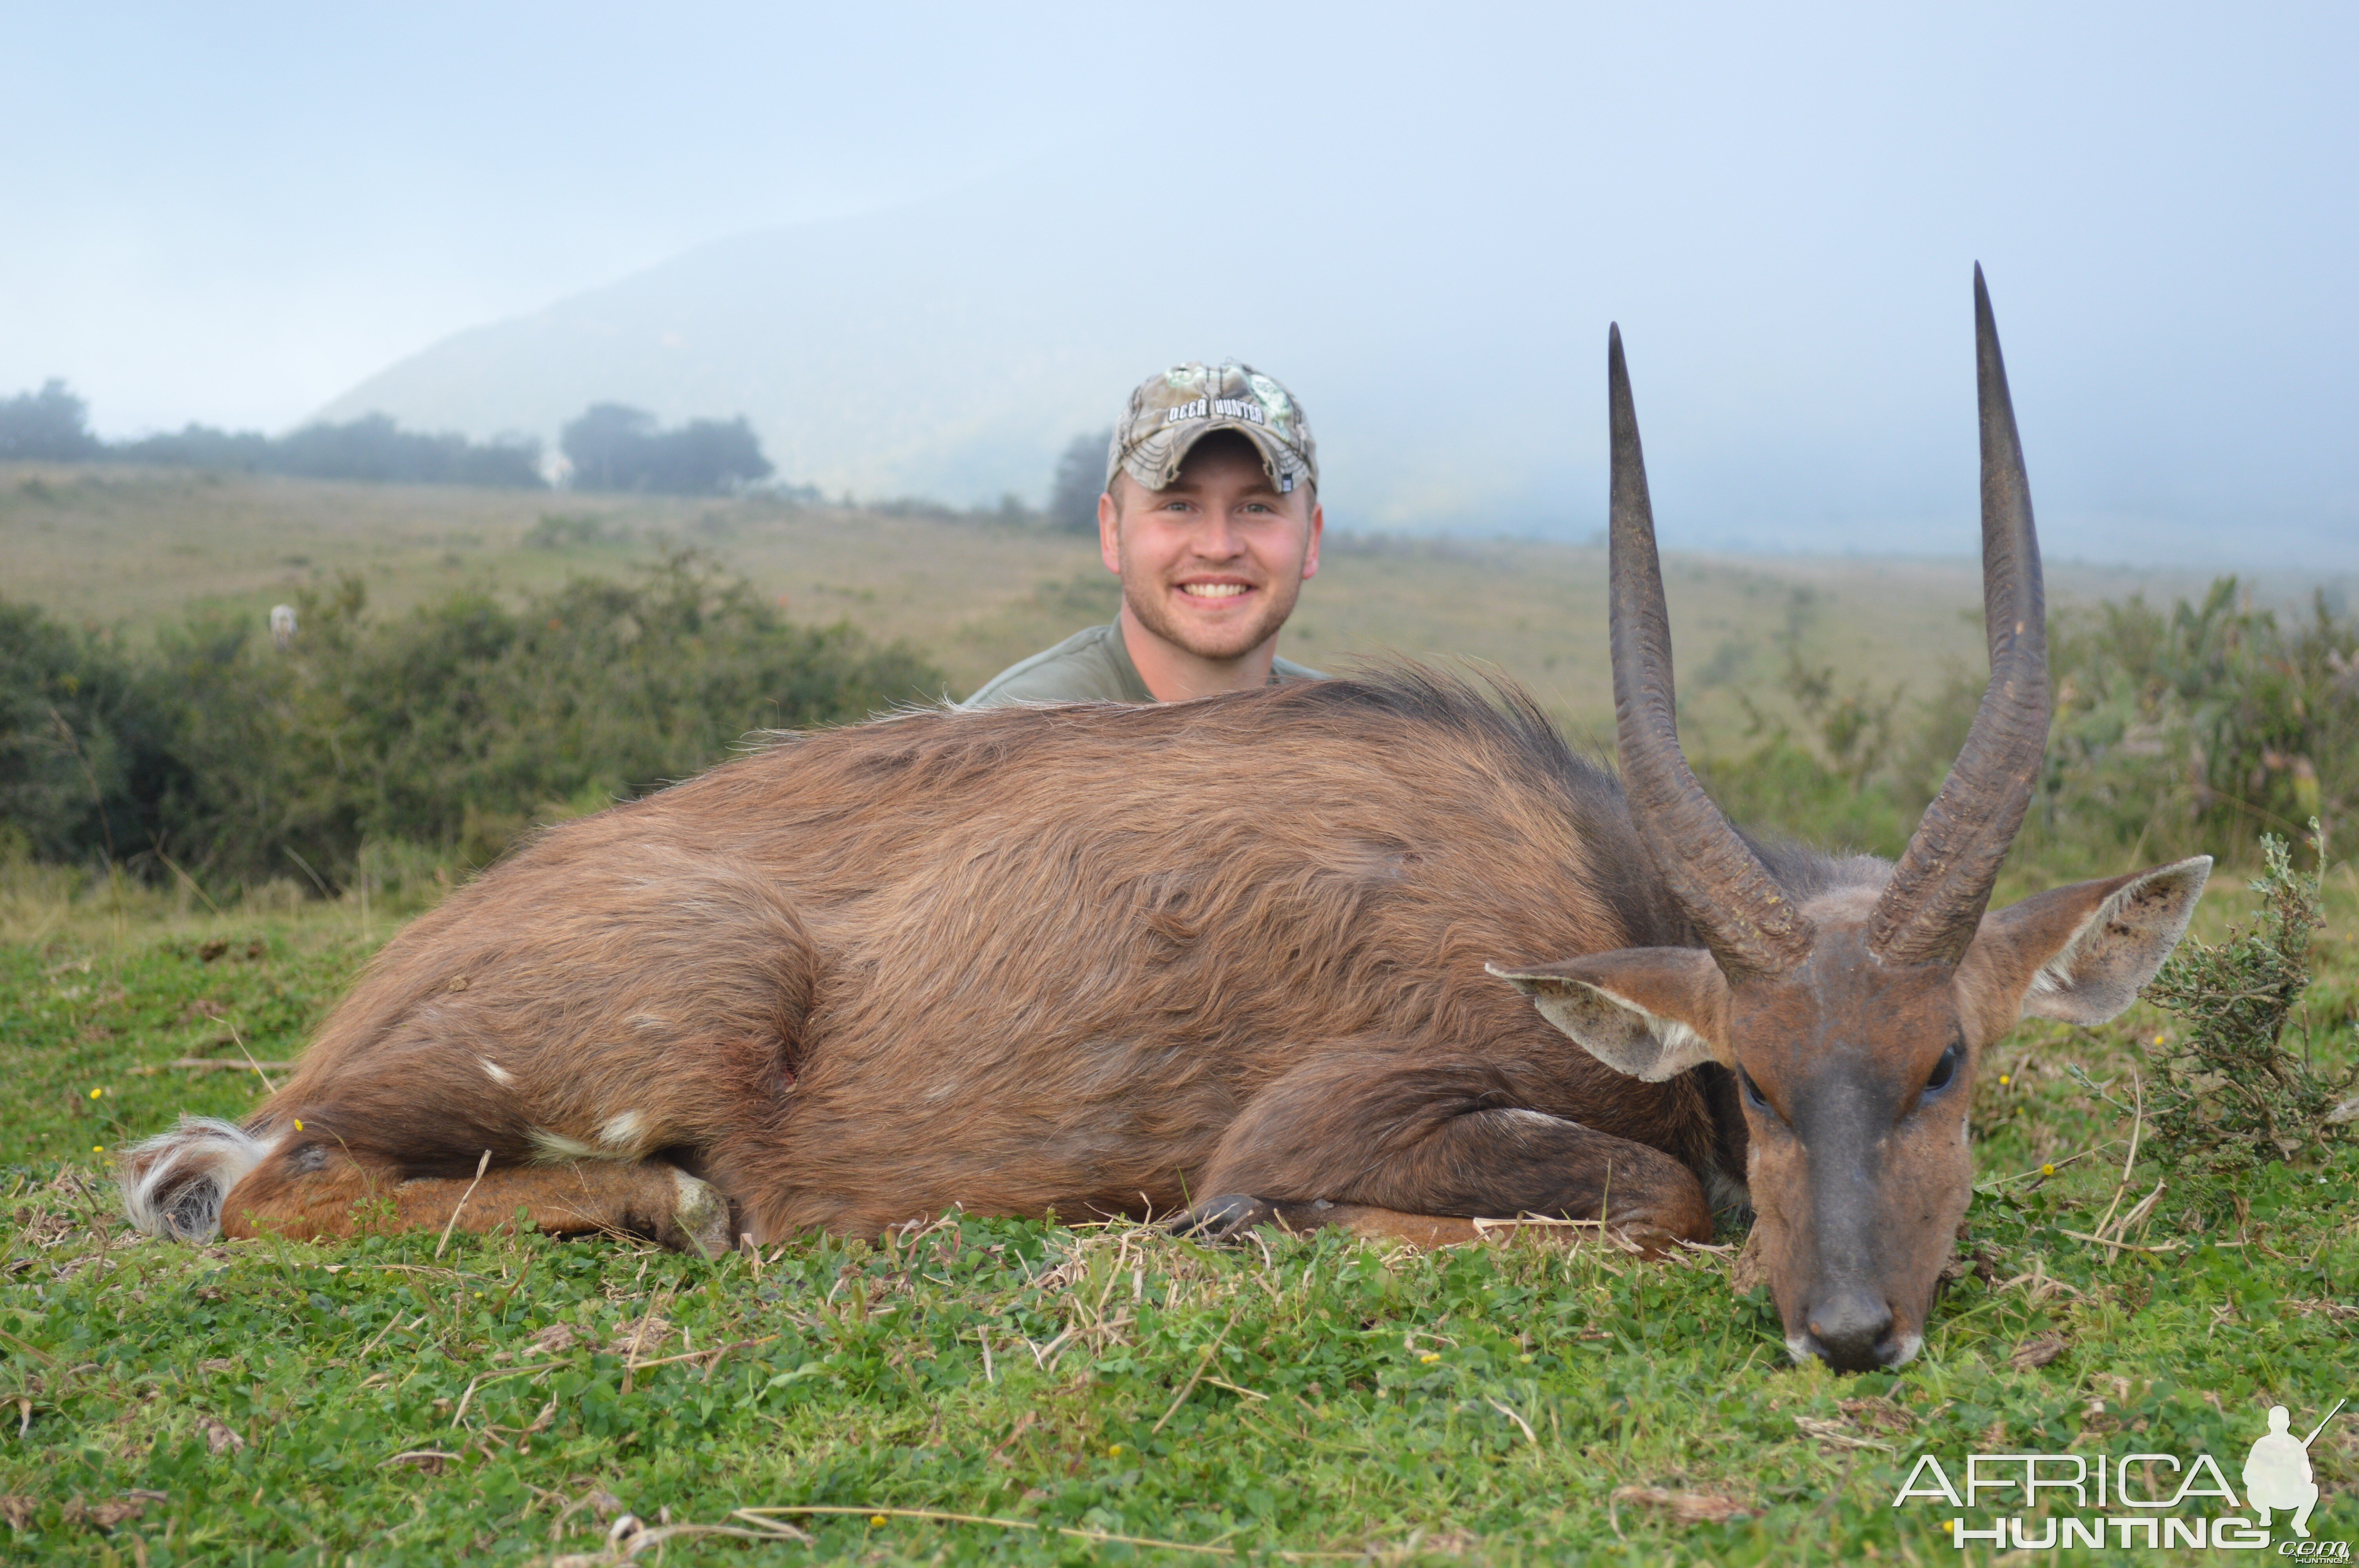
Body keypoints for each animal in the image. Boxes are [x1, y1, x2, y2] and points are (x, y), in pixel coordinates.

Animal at [120, 272, 2198, 1367]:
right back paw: (676, 1207)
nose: (1848, 1325)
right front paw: (1255, 1238)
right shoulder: (1343, 1107)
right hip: (669, 1018)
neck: (1568, 877)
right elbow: (1647, 1196)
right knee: (280, 1187)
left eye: (1942, 1063)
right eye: (1755, 1077)